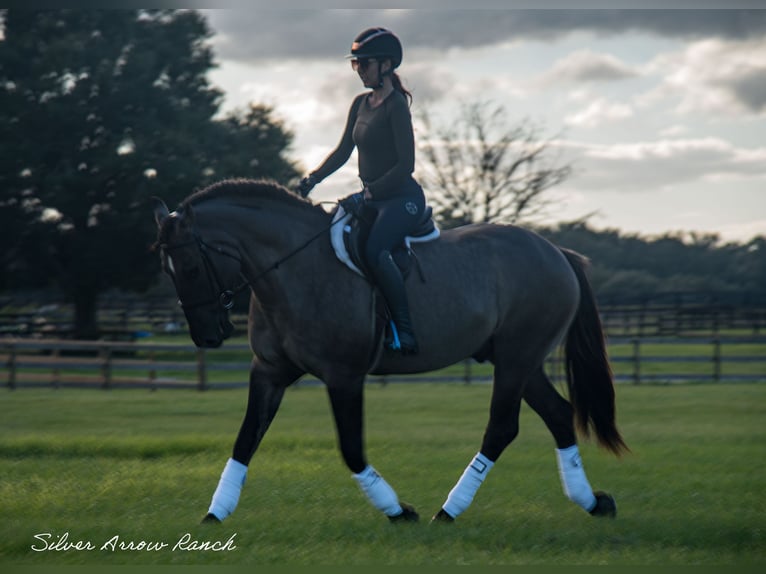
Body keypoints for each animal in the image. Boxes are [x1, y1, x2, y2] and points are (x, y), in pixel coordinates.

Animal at [152, 179, 632, 528]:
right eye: (166, 270)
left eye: (190, 267)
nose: (207, 336)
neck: (293, 269)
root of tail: (556, 252)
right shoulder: (269, 371)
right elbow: (245, 440)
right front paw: (215, 514)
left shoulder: (344, 376)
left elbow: (351, 449)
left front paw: (399, 511)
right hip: (521, 362)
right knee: (558, 414)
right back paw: (592, 502)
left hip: (517, 359)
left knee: (502, 428)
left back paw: (449, 511)